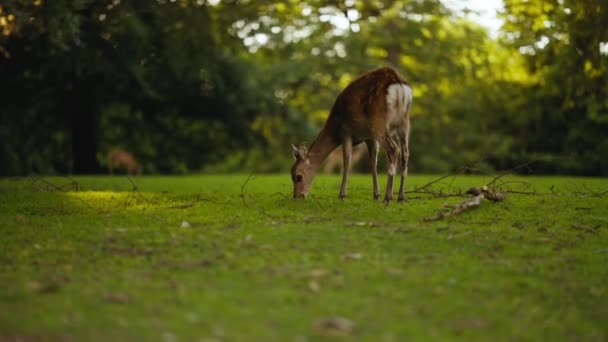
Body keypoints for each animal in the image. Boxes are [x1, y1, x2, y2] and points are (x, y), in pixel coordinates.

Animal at [290, 68, 414, 204]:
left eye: (298, 176)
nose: (297, 196)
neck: (335, 129)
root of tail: (399, 84)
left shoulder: (346, 132)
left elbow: (347, 160)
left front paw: (342, 195)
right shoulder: (369, 137)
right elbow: (373, 163)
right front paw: (376, 195)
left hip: (379, 121)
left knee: (393, 149)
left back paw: (388, 198)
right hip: (404, 122)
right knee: (405, 153)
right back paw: (400, 197)